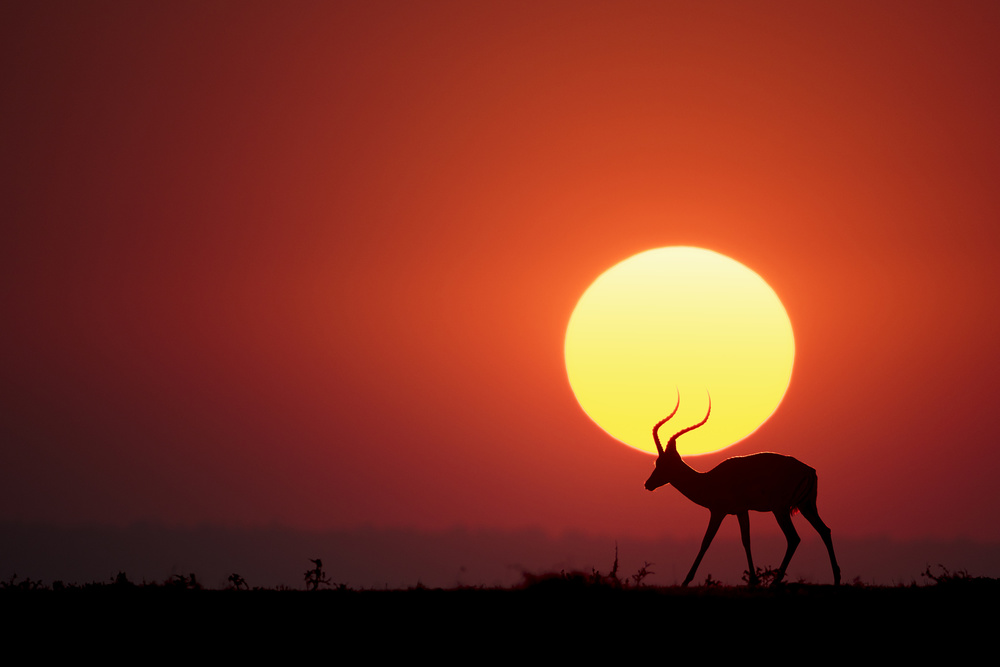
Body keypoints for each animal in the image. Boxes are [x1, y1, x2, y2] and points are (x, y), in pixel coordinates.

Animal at [645, 393, 841, 586]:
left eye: (661, 463)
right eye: (656, 461)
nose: (648, 484)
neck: (709, 480)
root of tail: (809, 471)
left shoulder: (718, 511)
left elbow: (706, 541)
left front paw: (686, 581)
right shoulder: (741, 511)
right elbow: (746, 540)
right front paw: (753, 580)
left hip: (781, 509)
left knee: (794, 538)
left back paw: (775, 583)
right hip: (807, 506)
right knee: (825, 530)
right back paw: (836, 579)